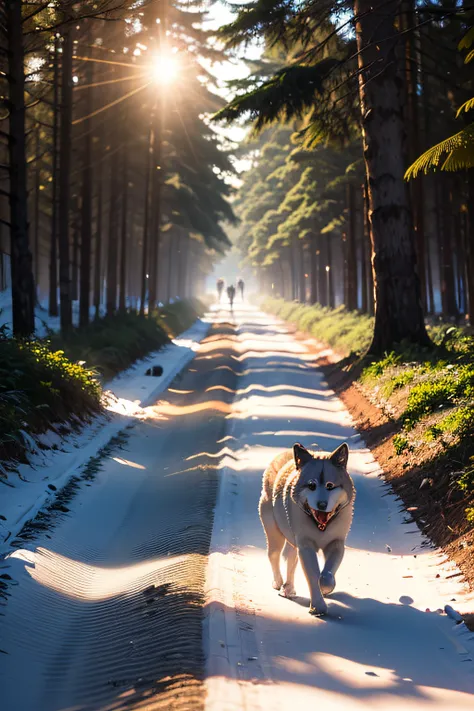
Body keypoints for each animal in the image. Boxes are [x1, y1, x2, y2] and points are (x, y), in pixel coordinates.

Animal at [260, 444, 356, 616]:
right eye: (311, 485)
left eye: (330, 485)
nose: (322, 505)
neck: (321, 526)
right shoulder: (306, 546)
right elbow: (312, 575)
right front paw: (318, 607)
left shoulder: (336, 543)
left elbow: (327, 573)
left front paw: (325, 587)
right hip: (274, 534)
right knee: (273, 555)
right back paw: (278, 582)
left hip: (293, 543)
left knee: (291, 560)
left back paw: (288, 589)